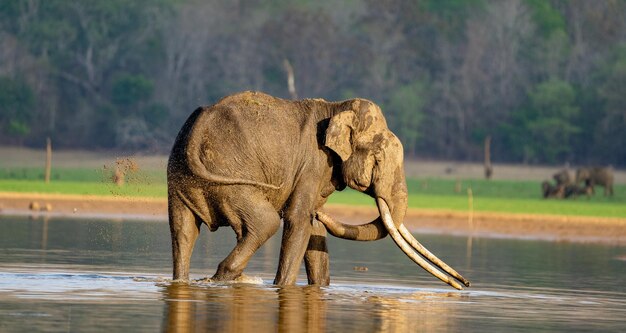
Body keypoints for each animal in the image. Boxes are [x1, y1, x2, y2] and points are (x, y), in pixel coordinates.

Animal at [167, 90, 468, 288]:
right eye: (379, 159)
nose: (464, 284)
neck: (337, 108)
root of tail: (197, 132)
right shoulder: (313, 162)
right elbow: (298, 219)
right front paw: (282, 288)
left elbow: (312, 228)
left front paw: (319, 286)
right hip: (230, 176)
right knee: (265, 223)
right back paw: (221, 279)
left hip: (182, 180)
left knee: (183, 230)